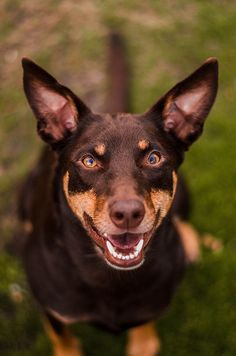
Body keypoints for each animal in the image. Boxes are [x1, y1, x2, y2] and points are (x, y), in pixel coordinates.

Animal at [19, 34, 218, 356]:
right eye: (89, 160)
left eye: (153, 158)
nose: (127, 214)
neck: (111, 279)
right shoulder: (53, 311)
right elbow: (63, 339)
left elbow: (145, 322)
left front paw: (143, 342)